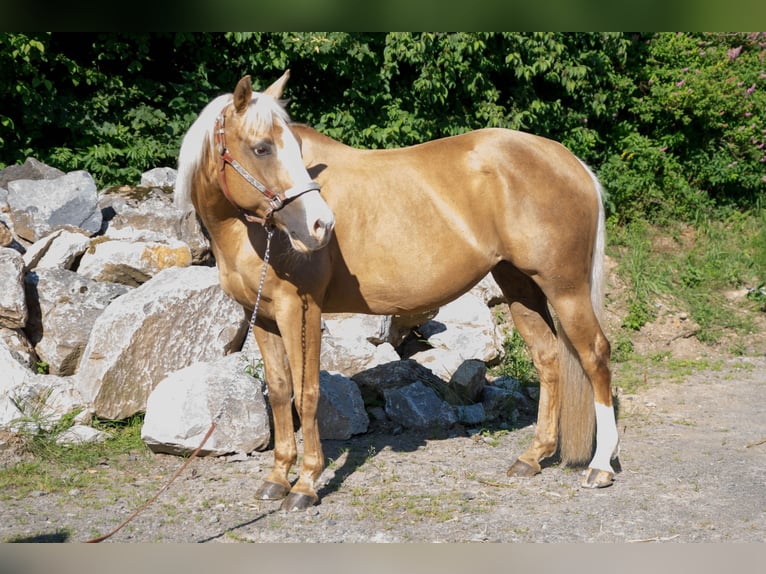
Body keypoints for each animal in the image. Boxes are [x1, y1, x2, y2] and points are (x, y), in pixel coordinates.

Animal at [174, 72, 616, 512]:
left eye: (293, 148)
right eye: (262, 148)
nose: (321, 225)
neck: (252, 235)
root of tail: (570, 162)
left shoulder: (300, 310)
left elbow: (307, 393)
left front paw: (306, 484)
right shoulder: (263, 316)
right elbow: (281, 392)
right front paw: (278, 478)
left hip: (565, 288)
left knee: (594, 354)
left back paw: (601, 468)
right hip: (520, 285)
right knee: (548, 358)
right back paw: (533, 456)